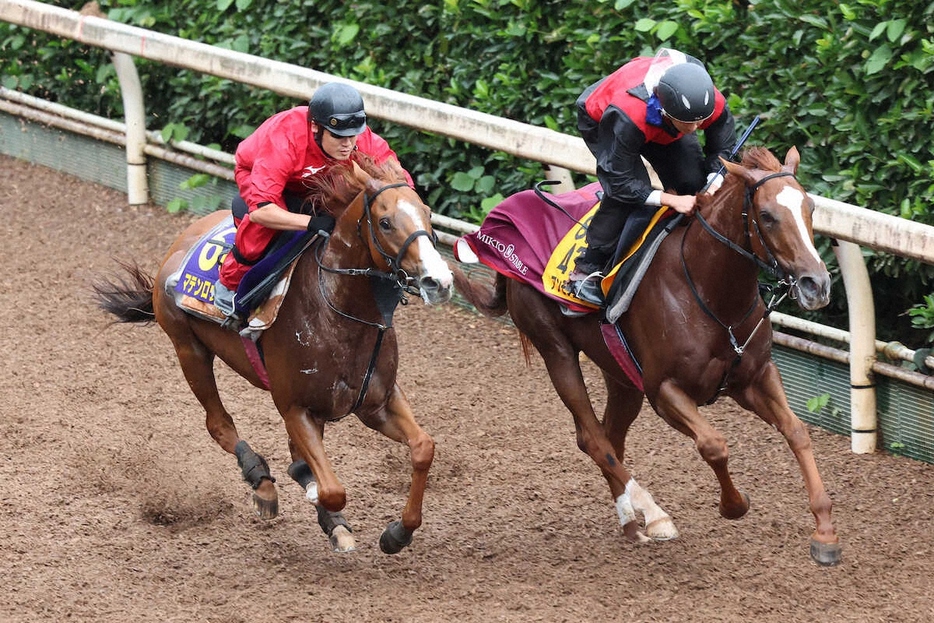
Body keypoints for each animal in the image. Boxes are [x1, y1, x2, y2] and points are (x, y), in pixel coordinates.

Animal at [97, 160, 456, 556]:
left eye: (427, 213)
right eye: (386, 222)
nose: (439, 281)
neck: (339, 313)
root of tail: (180, 243)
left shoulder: (378, 401)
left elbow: (423, 448)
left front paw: (397, 533)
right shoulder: (295, 406)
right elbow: (331, 490)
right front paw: (314, 495)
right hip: (188, 349)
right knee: (219, 424)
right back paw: (262, 483)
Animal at [458, 149, 844, 568]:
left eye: (810, 207)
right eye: (768, 215)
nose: (816, 284)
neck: (710, 290)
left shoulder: (755, 376)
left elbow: (797, 431)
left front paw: (825, 531)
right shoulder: (664, 391)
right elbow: (714, 444)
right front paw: (733, 504)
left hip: (620, 375)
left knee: (610, 437)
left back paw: (630, 521)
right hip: (555, 348)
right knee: (593, 438)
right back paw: (655, 516)